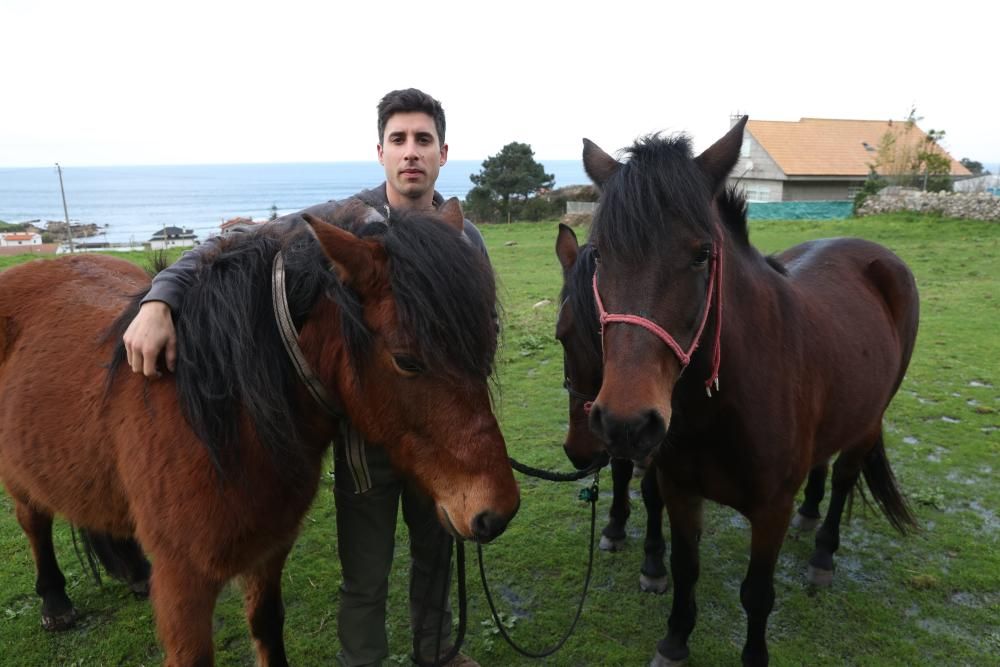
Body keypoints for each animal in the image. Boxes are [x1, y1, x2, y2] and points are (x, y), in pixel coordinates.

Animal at [0, 200, 516, 667]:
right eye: (407, 360)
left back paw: (132, 572)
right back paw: (54, 602)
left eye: (486, 341)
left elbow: (267, 625)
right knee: (33, 521)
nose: (497, 513)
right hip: (20, 479)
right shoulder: (184, 581)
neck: (223, 417)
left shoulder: (269, 549)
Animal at [552, 226, 668, 596]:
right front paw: (615, 526)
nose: (579, 451)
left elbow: (654, 492)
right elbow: (618, 471)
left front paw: (653, 560)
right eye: (561, 336)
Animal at [580, 117, 920, 664]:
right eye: (598, 256)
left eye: (702, 255)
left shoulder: (770, 509)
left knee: (845, 477)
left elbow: (757, 593)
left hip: (868, 423)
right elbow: (685, 570)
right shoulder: (681, 491)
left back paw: (822, 554)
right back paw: (810, 515)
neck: (721, 409)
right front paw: (675, 640)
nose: (625, 423)